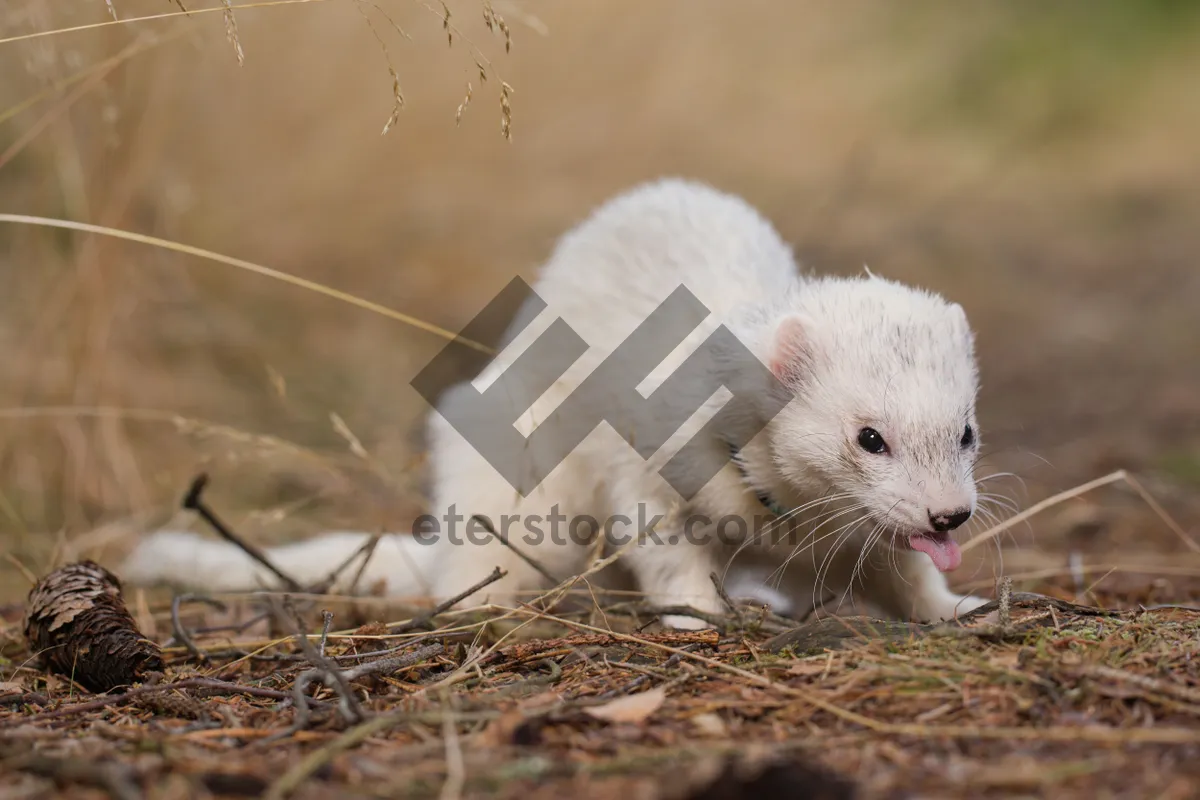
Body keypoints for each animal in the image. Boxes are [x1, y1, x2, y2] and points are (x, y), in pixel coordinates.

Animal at [121, 179, 988, 623]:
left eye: (967, 431)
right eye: (869, 436)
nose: (951, 514)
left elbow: (907, 578)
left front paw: (957, 607)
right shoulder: (640, 469)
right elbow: (664, 556)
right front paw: (697, 616)